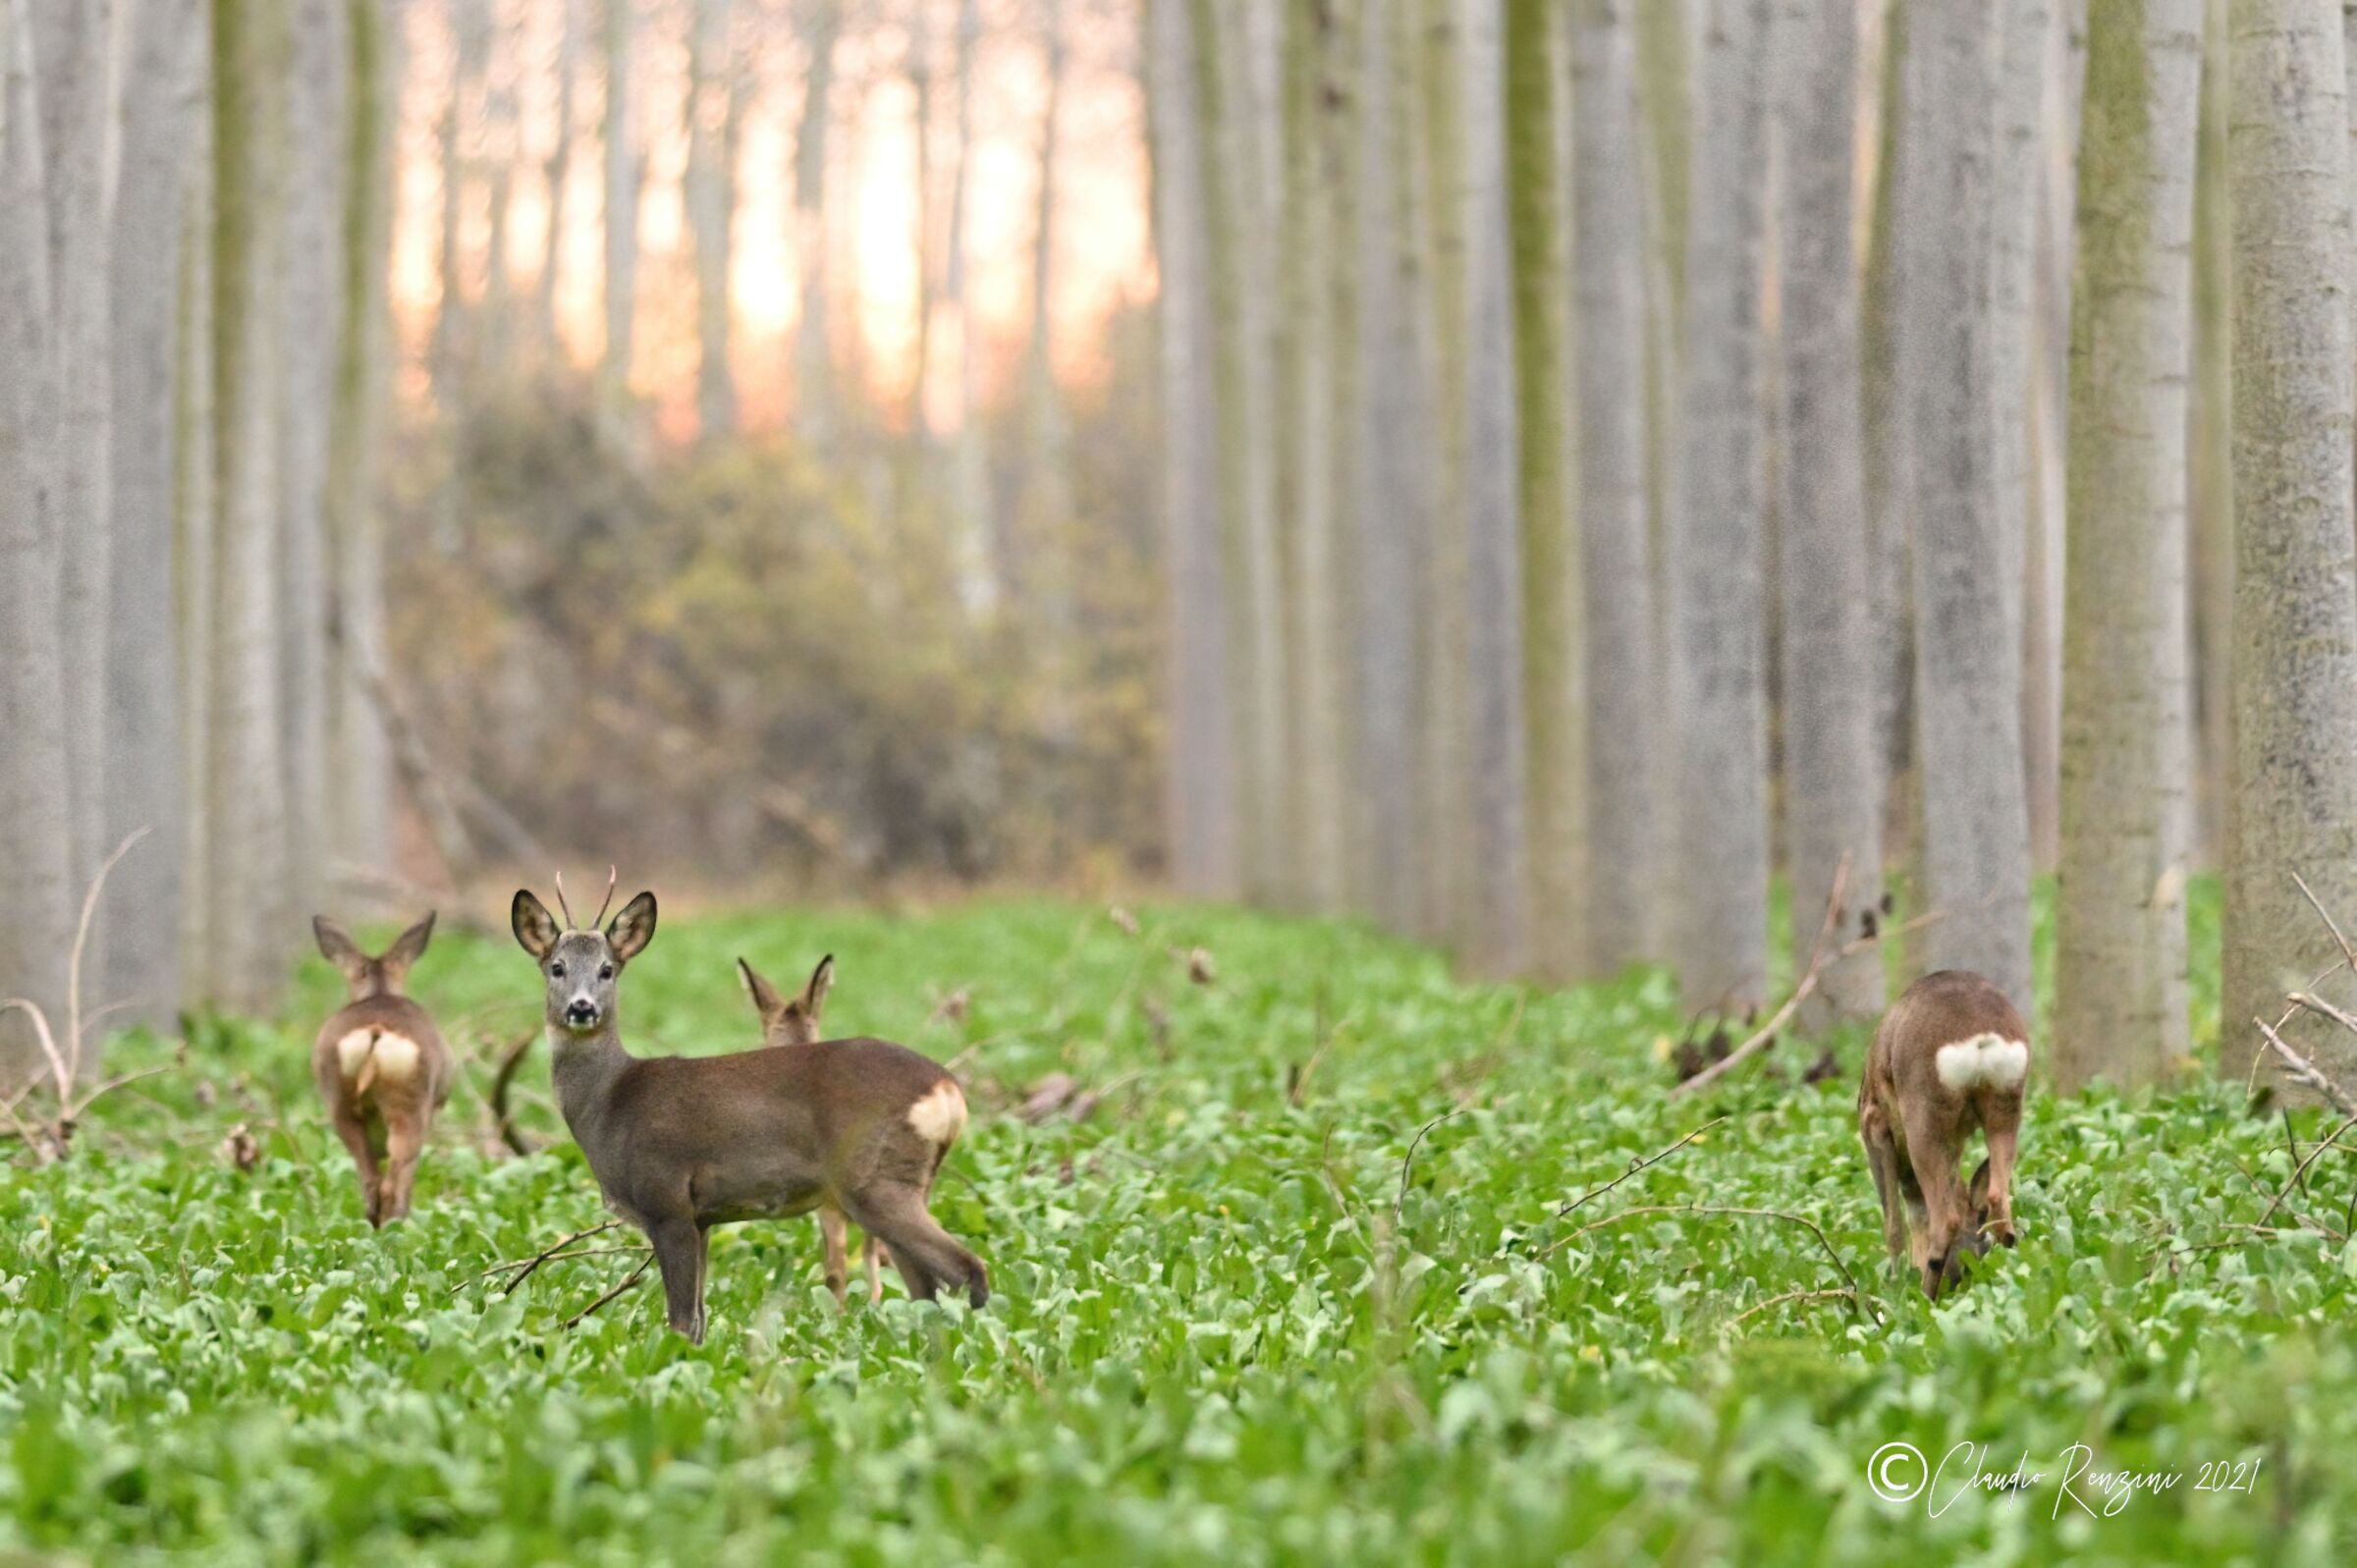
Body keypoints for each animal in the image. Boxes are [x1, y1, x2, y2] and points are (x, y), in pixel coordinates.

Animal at [1858, 969, 2029, 1300]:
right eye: (1978, 1250)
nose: (1960, 1276)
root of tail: (1980, 1037)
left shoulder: (1874, 1125)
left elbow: (1894, 1224)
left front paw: (1896, 1286)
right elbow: (1917, 1214)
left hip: (1925, 1117)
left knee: (1944, 1219)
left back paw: (1924, 1296)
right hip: (2005, 1107)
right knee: (1998, 1200)